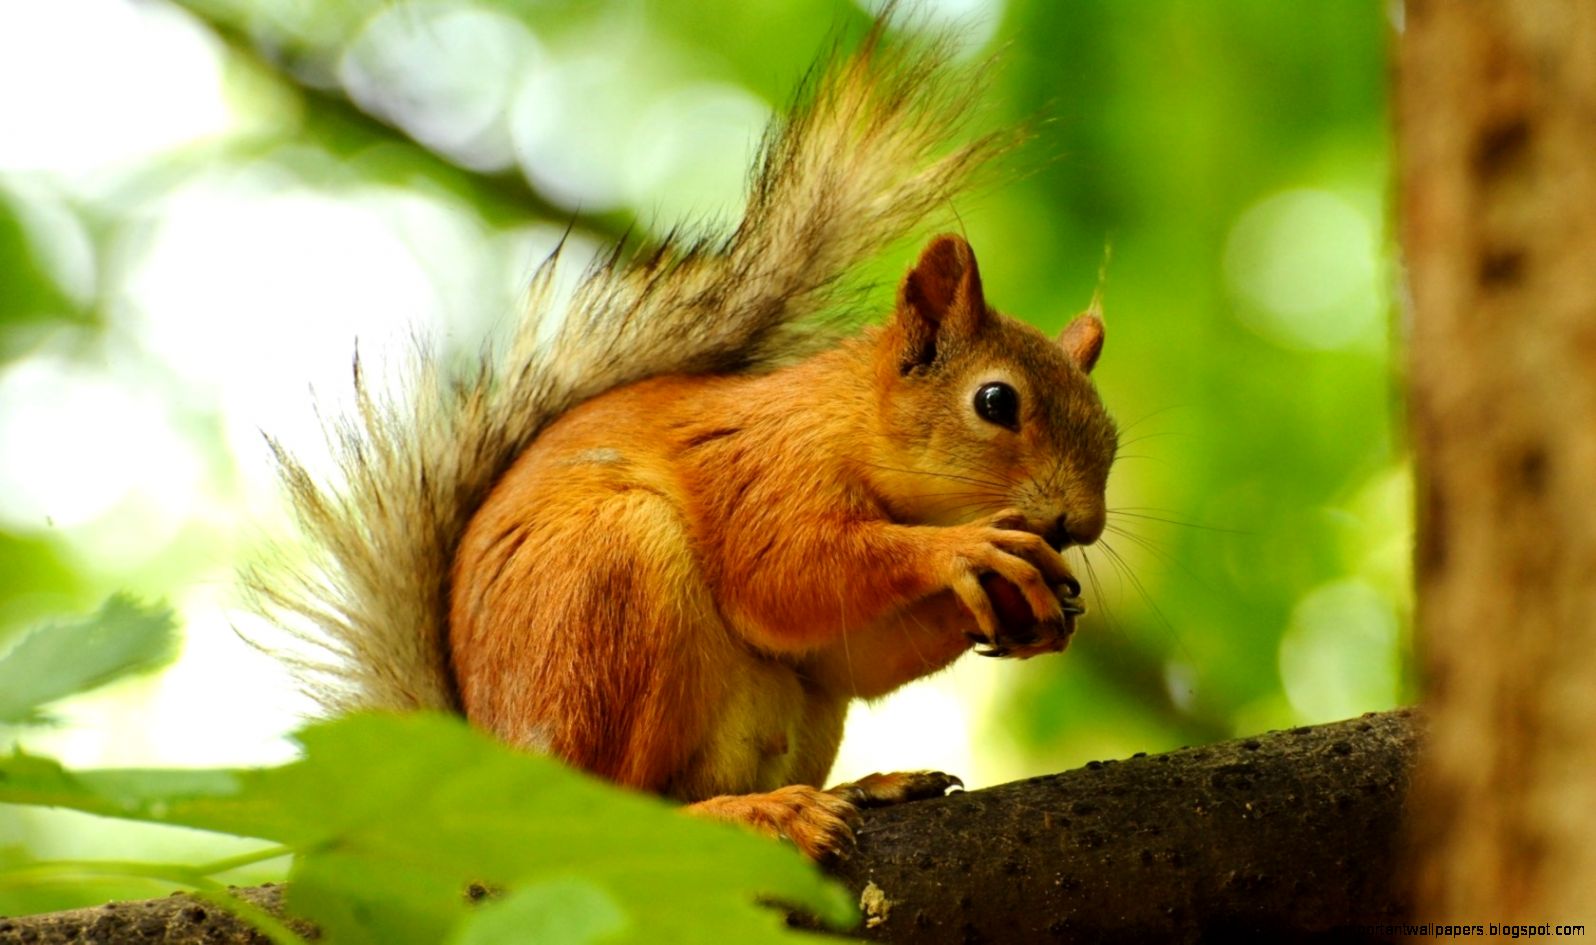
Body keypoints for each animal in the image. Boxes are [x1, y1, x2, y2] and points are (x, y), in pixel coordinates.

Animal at [246, 14, 1117, 860]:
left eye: (1110, 434)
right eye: (996, 401)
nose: (1081, 525)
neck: (846, 421)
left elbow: (849, 653)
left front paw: (1032, 605)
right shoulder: (761, 469)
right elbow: (786, 575)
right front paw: (966, 549)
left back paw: (863, 787)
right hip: (610, 592)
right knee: (620, 807)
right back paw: (759, 812)